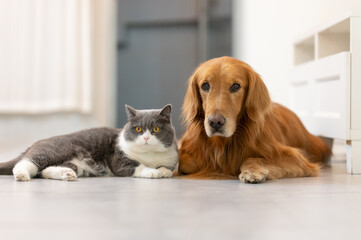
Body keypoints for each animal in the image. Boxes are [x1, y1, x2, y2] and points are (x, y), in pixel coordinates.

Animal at [0, 104, 178, 181]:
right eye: (138, 129)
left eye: (155, 129)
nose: (146, 138)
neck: (149, 156)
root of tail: (34, 144)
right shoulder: (119, 159)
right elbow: (136, 166)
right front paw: (153, 172)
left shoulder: (170, 159)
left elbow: (167, 168)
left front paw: (163, 171)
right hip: (55, 150)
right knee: (26, 163)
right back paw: (22, 174)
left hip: (78, 165)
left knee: (44, 171)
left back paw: (67, 174)